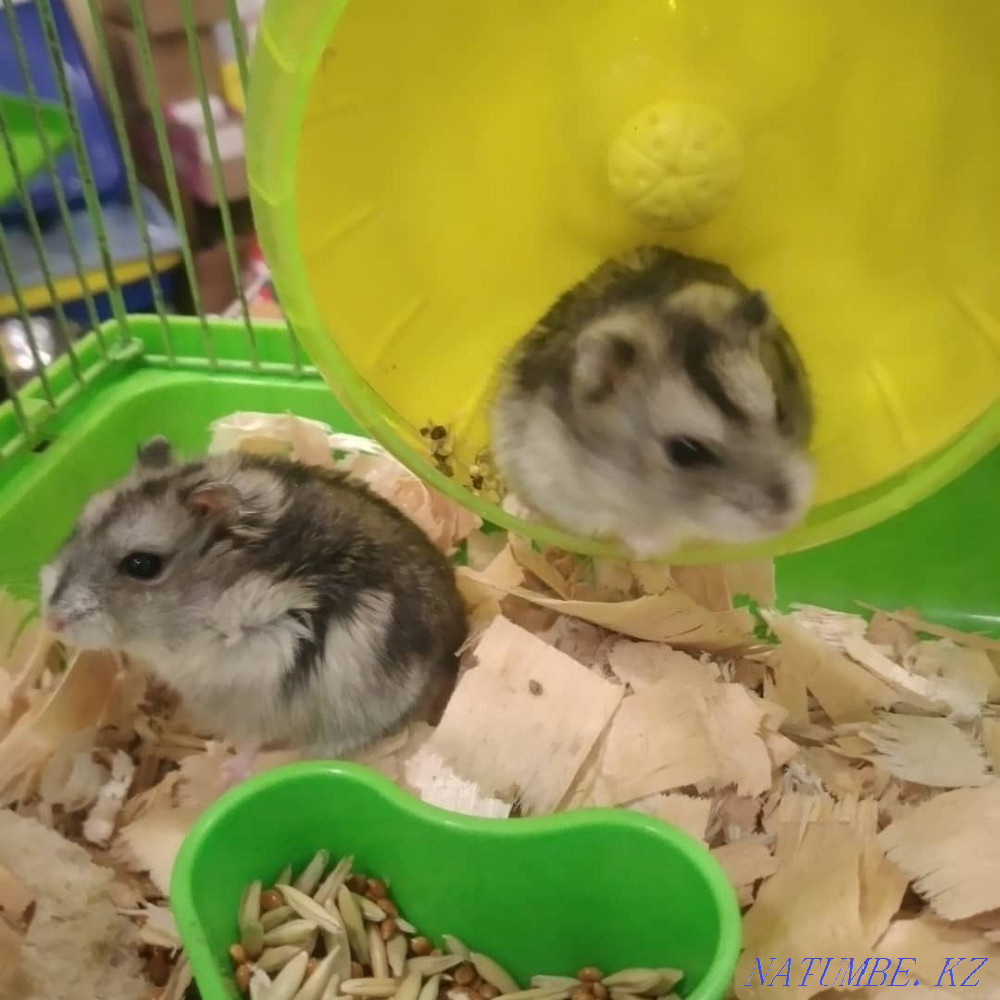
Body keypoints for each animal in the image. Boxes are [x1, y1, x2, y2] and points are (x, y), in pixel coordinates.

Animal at [40, 439, 467, 762]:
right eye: (78, 524)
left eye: (142, 565)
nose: (51, 622)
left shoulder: (258, 668)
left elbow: (254, 735)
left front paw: (232, 766)